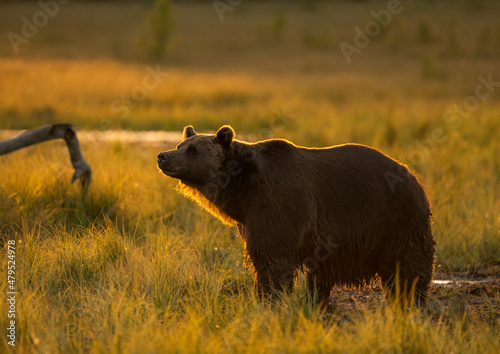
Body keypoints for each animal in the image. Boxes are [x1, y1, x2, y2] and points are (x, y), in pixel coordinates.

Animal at [158, 125, 436, 306]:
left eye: (192, 150)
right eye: (180, 145)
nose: (163, 156)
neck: (244, 190)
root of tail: (412, 174)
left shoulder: (280, 206)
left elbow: (274, 259)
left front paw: (271, 297)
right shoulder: (250, 220)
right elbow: (260, 256)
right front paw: (263, 295)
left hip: (395, 216)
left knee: (409, 261)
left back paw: (411, 298)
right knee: (322, 275)